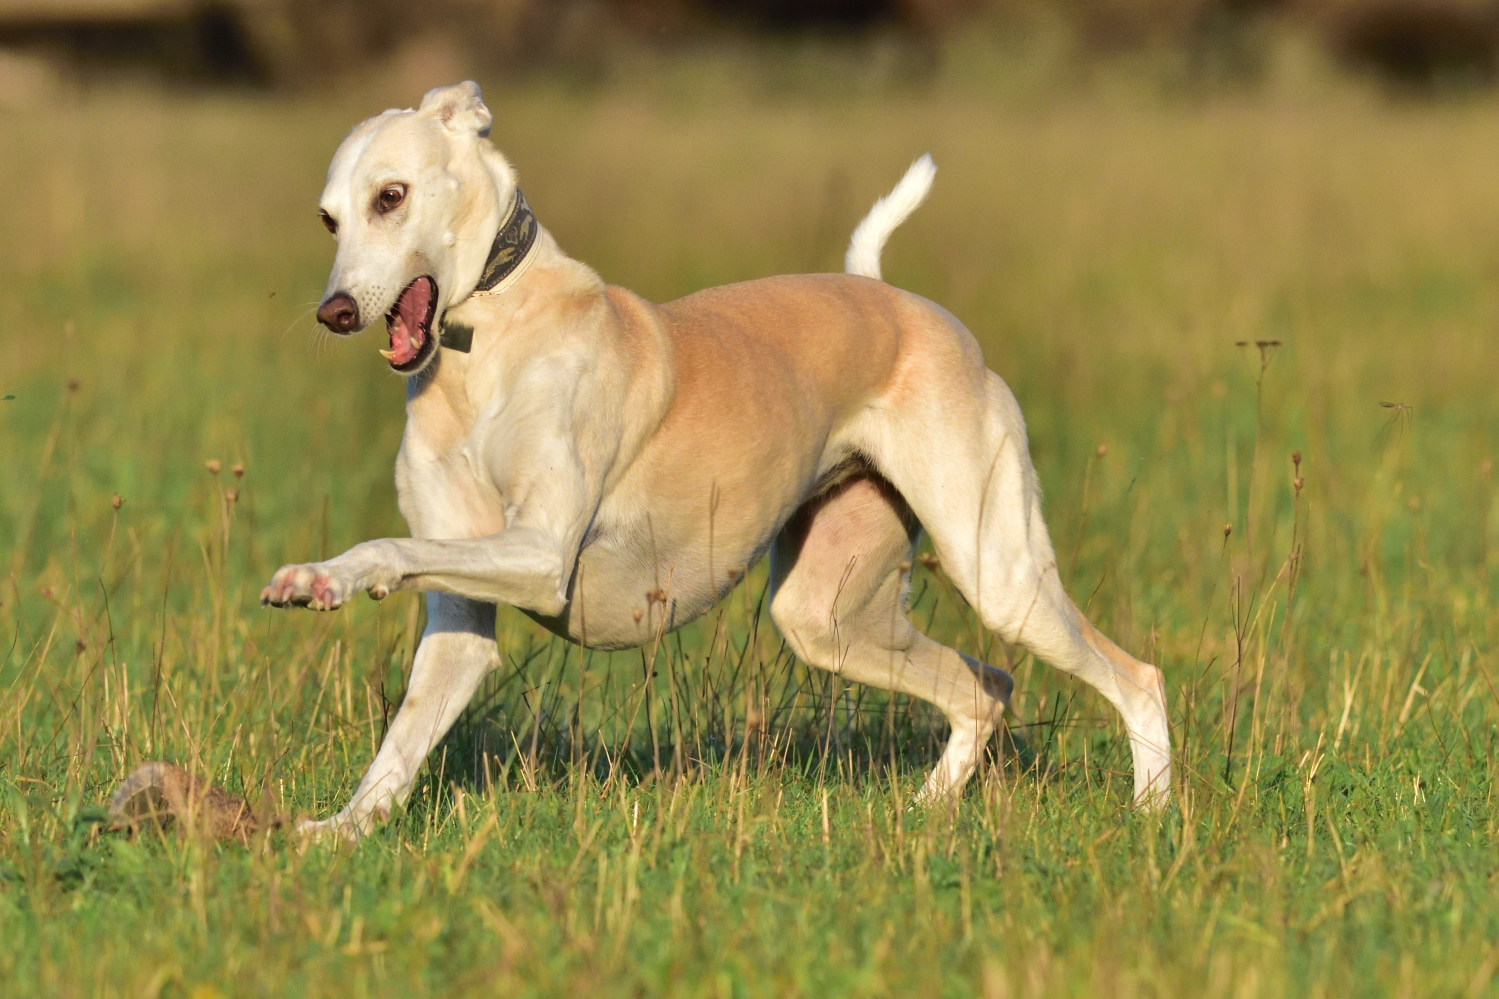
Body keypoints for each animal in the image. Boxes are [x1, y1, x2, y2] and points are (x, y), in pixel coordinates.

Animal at [263, 81, 1169, 834]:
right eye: (328, 218)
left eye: (391, 195)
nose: (334, 311)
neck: (489, 339)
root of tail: (892, 297)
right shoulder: (460, 618)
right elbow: (402, 740)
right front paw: (335, 833)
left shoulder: (540, 554)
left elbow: (390, 546)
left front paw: (322, 576)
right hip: (825, 617)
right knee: (983, 686)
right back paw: (927, 809)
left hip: (999, 573)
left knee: (1134, 676)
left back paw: (1153, 812)